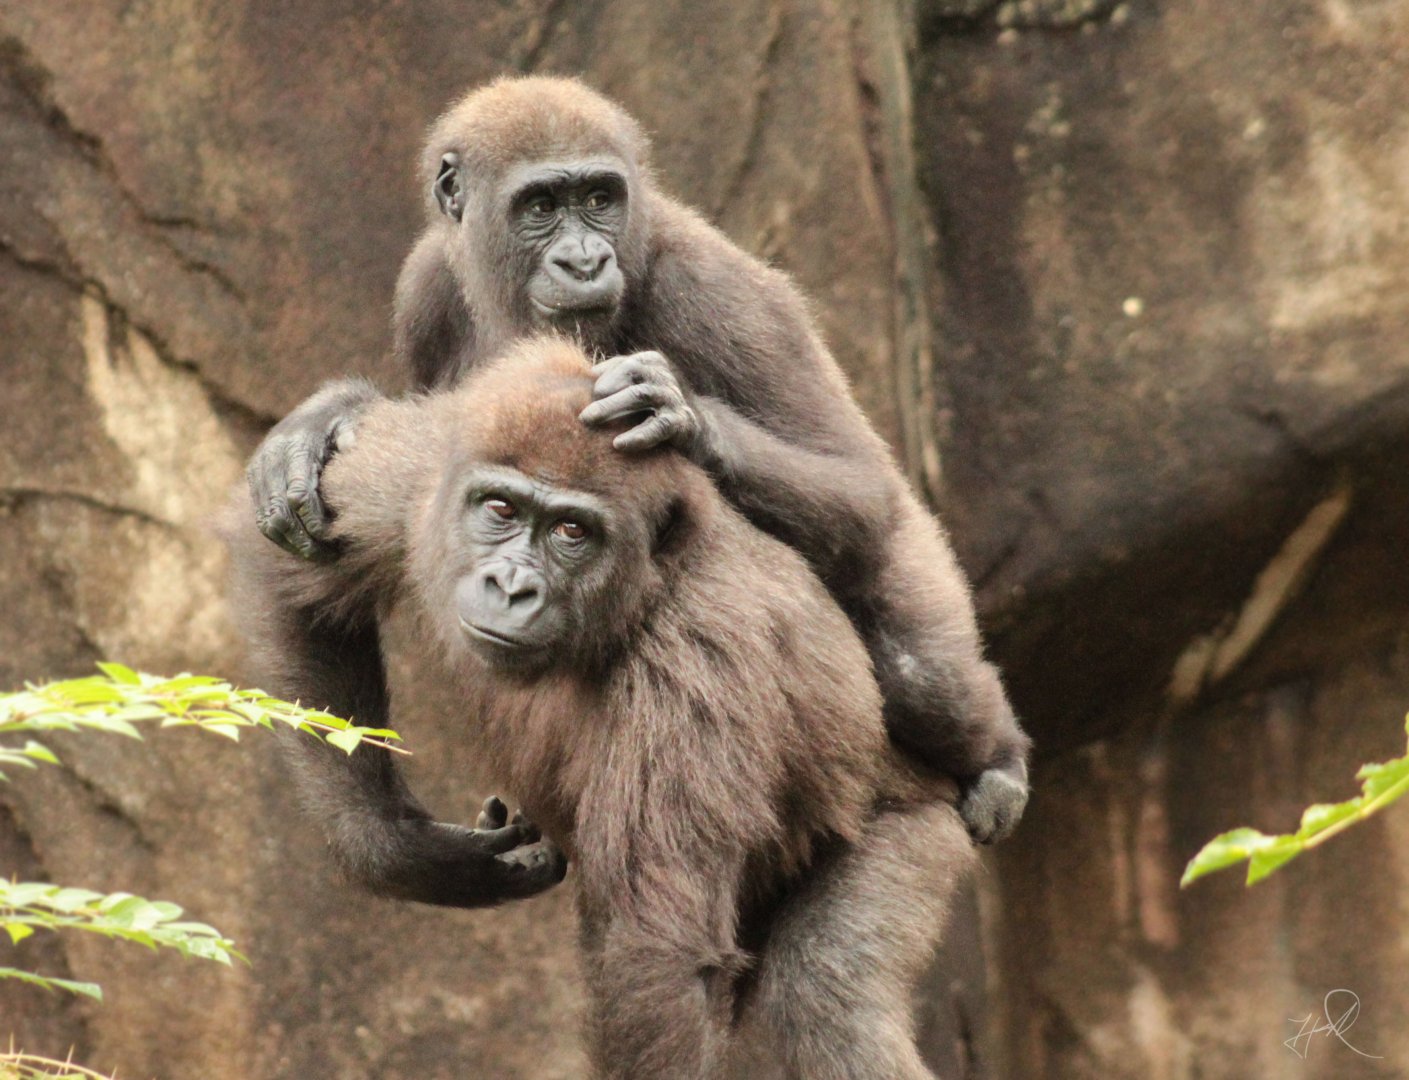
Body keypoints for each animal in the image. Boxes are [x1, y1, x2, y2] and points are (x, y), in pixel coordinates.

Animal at [227, 337, 975, 1079]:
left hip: (915, 821)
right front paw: (410, 851)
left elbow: (658, 958)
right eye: (500, 510)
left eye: (571, 530)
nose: (511, 585)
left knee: (824, 994)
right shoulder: (424, 476)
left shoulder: (701, 656)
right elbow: (292, 572)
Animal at [245, 76, 1029, 908]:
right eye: (540, 206)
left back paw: (997, 758)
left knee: (918, 662)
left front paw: (679, 414)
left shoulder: (713, 293)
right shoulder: (427, 286)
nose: (585, 259)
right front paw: (329, 418)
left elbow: (859, 489)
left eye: (599, 199)